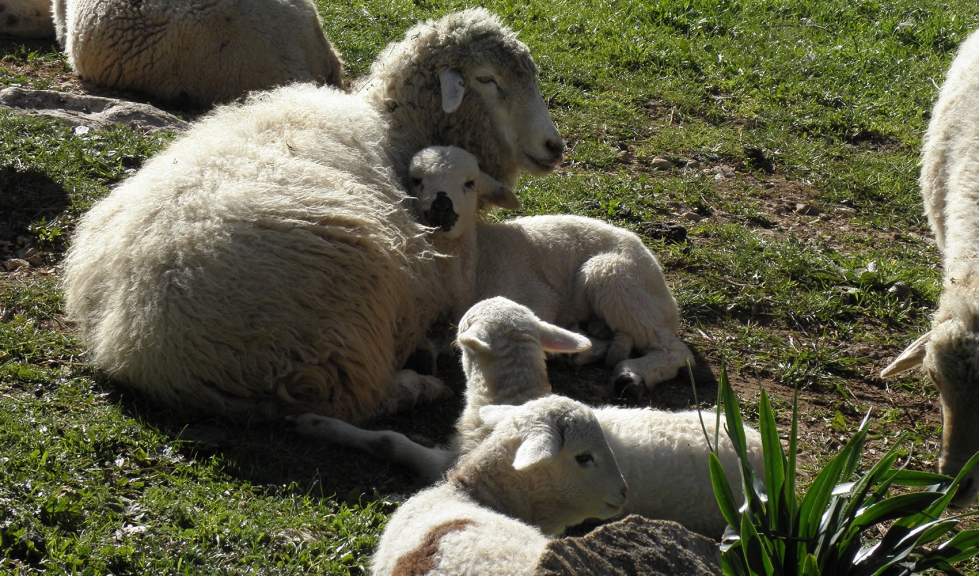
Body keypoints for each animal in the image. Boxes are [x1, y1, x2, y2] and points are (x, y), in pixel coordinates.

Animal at [62, 9, 565, 423]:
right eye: (487, 79)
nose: (554, 146)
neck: (398, 128)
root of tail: (136, 338)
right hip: (337, 340)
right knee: (359, 399)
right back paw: (418, 383)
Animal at [291, 297, 763, 538]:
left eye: (467, 319)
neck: (518, 398)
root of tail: (762, 448)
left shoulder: (446, 463)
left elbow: (391, 441)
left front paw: (314, 423)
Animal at [406, 145, 693, 397]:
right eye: (416, 180)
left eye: (470, 183)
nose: (441, 206)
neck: (477, 261)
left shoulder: (537, 297)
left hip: (614, 277)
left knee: (674, 351)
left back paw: (631, 376)